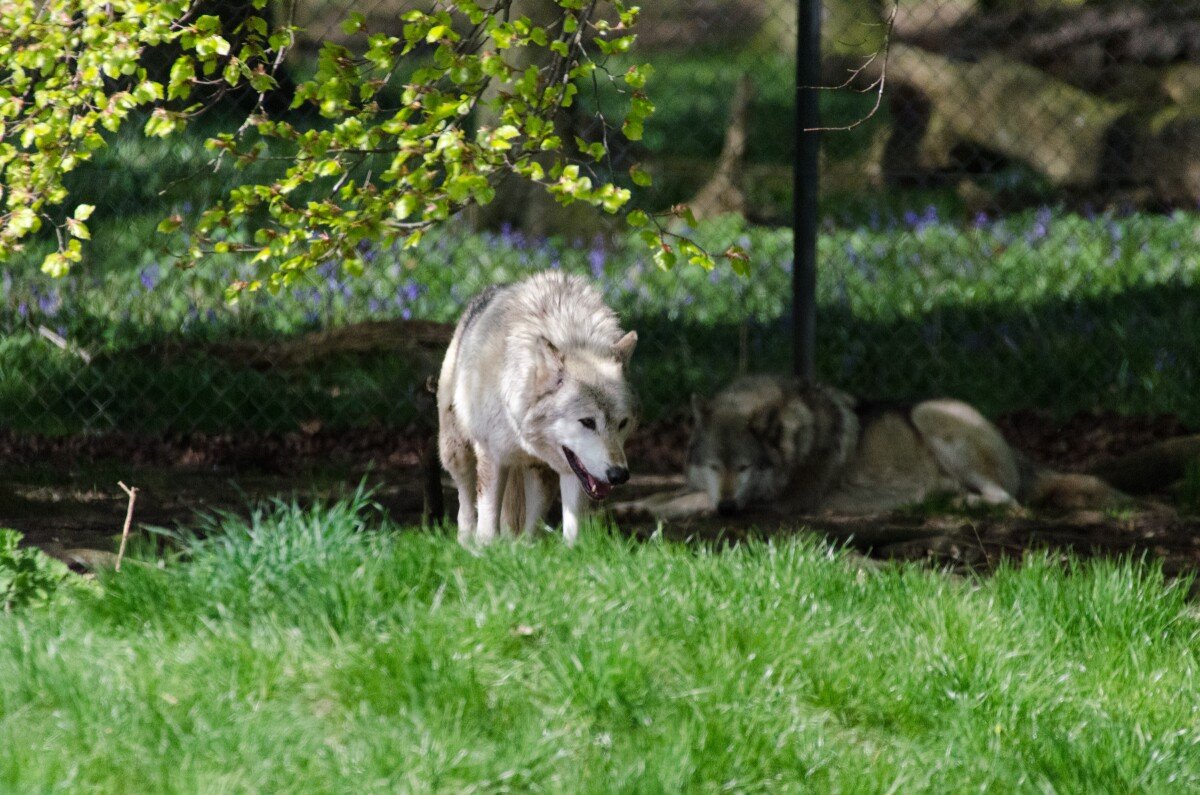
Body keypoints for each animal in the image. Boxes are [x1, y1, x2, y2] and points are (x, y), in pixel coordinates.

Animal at [437, 272, 638, 546]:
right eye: (587, 422)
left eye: (622, 423)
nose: (619, 475)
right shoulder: (492, 456)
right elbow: (487, 523)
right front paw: (486, 550)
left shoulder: (560, 469)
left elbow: (563, 526)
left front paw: (558, 552)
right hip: (456, 451)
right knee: (465, 502)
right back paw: (466, 542)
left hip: (534, 472)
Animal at [618, 374, 1173, 521]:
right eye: (715, 465)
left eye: (746, 467)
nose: (730, 509)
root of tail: (1021, 453)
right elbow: (668, 493)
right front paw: (627, 504)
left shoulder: (773, 503)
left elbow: (682, 501)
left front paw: (639, 510)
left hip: (932, 414)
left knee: (1007, 502)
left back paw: (955, 502)